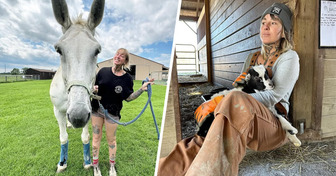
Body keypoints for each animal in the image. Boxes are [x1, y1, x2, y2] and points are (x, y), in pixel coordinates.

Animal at [50, 0, 104, 173]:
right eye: (58, 50)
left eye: (97, 51)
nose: (77, 117)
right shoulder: (58, 111)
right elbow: (63, 138)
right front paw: (62, 163)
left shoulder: (88, 110)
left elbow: (86, 137)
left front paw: (87, 162)